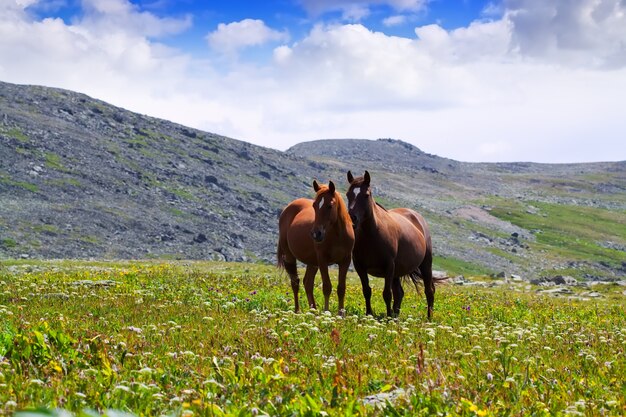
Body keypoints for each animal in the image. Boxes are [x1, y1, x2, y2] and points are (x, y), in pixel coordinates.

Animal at [276, 180, 354, 314]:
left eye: (330, 205)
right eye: (314, 205)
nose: (316, 234)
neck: (337, 235)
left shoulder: (345, 260)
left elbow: (341, 288)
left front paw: (341, 314)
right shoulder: (322, 260)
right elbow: (327, 287)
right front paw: (326, 312)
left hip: (312, 262)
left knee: (307, 283)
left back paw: (313, 311)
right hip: (290, 256)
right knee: (295, 282)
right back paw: (297, 311)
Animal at [344, 170, 436, 318]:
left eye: (366, 195)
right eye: (348, 194)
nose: (352, 219)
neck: (372, 235)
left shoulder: (388, 266)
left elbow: (387, 294)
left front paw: (387, 317)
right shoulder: (360, 267)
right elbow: (367, 291)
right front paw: (369, 314)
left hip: (425, 264)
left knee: (429, 291)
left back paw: (429, 318)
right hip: (397, 272)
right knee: (399, 293)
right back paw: (396, 317)